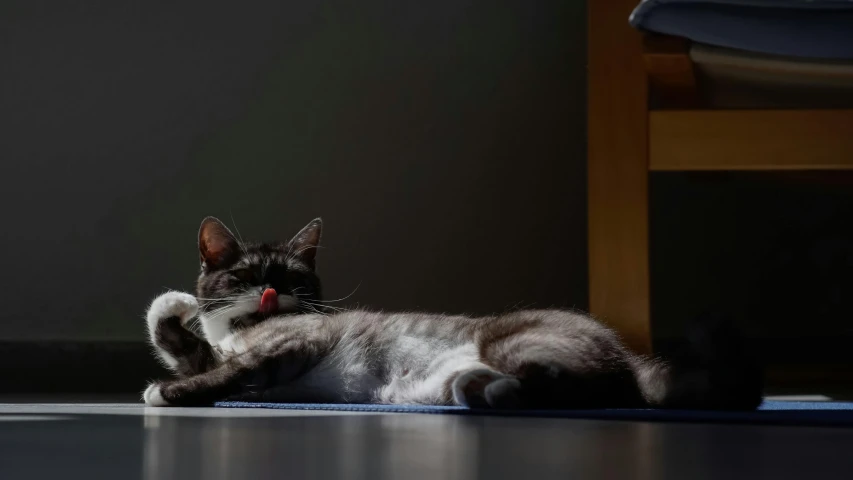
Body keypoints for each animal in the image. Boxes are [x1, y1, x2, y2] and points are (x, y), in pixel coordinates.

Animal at [143, 218, 764, 408]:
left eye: (293, 279)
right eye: (246, 278)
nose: (272, 293)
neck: (247, 329)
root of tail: (632, 359)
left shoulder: (291, 346)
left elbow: (233, 371)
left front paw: (170, 393)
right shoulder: (211, 350)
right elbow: (183, 342)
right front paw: (179, 306)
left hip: (515, 341)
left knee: (587, 387)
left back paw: (495, 387)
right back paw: (475, 388)